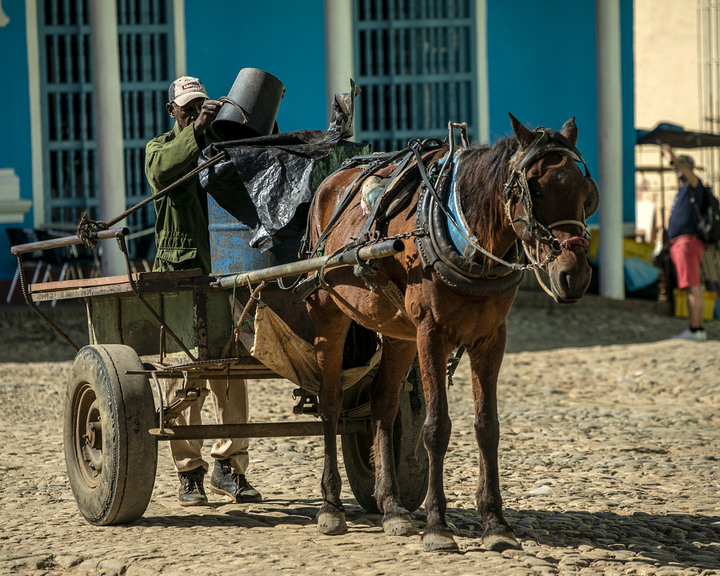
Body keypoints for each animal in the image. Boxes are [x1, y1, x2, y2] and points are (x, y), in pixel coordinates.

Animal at [302, 115, 596, 552]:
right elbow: (436, 428)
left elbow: (487, 427)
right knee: (331, 405)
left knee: (383, 406)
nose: (573, 276)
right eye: (536, 189)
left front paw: (495, 524)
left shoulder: (491, 339)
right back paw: (331, 506)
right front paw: (438, 525)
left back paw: (391, 506)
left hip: (397, 333)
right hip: (329, 314)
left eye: (585, 194)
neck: (465, 239)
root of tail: (328, 183)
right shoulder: (431, 333)